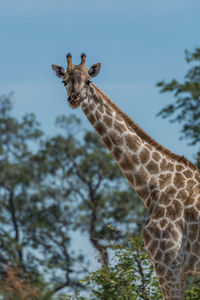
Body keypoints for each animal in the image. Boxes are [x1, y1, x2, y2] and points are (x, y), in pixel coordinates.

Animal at [51, 52, 200, 298]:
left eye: (88, 81)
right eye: (64, 81)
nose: (74, 98)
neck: (154, 185)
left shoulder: (168, 265)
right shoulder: (178, 269)